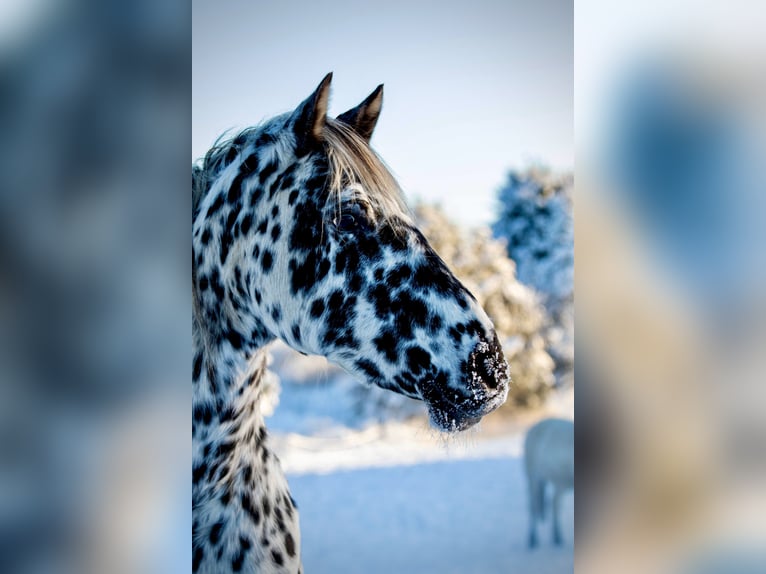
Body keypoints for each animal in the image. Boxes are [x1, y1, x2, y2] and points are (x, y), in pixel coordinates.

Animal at [524, 417, 574, 548]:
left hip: (555, 482)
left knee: (553, 504)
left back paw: (556, 537)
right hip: (533, 478)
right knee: (534, 506)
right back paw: (533, 540)